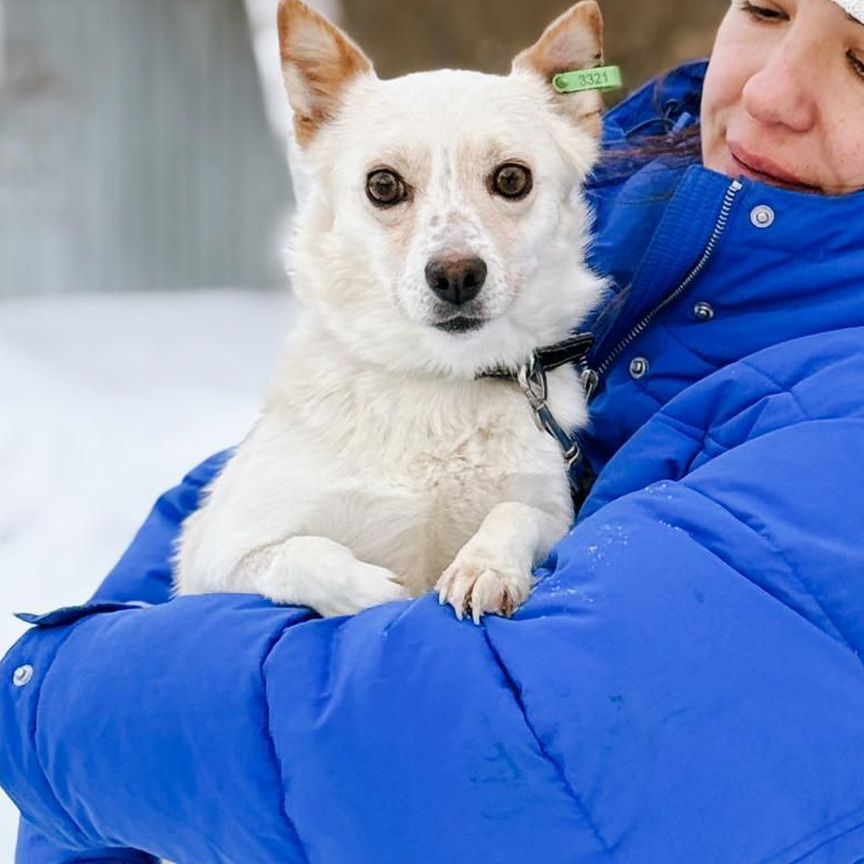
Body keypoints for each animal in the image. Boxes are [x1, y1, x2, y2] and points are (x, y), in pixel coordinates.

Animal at [174, 0, 608, 620]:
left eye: (511, 178)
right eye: (383, 185)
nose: (456, 275)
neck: (438, 382)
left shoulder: (553, 508)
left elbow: (515, 512)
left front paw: (484, 566)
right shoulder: (215, 553)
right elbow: (302, 553)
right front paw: (373, 593)